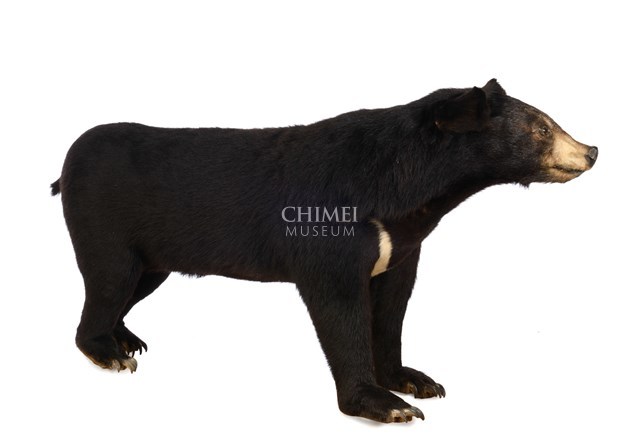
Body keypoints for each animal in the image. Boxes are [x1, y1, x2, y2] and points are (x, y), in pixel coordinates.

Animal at [51, 79, 597, 423]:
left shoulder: (402, 245)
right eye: (541, 128)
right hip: (104, 223)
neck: (405, 190)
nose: (591, 151)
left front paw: (414, 380)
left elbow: (392, 305)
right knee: (108, 280)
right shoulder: (333, 233)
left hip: (154, 253)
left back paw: (126, 338)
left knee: (132, 286)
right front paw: (389, 406)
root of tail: (66, 165)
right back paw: (109, 352)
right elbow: (339, 305)